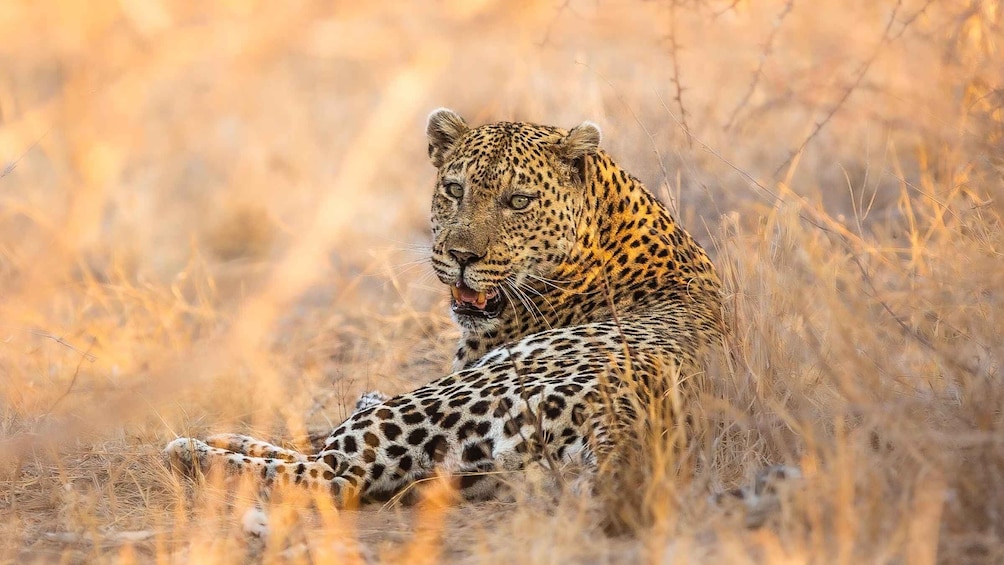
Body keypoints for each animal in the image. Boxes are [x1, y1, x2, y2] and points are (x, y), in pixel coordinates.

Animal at [164, 108, 730, 508]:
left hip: (443, 397)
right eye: (455, 190)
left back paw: (192, 452)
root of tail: (629, 426)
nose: (461, 256)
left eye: (518, 201)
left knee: (330, 473)